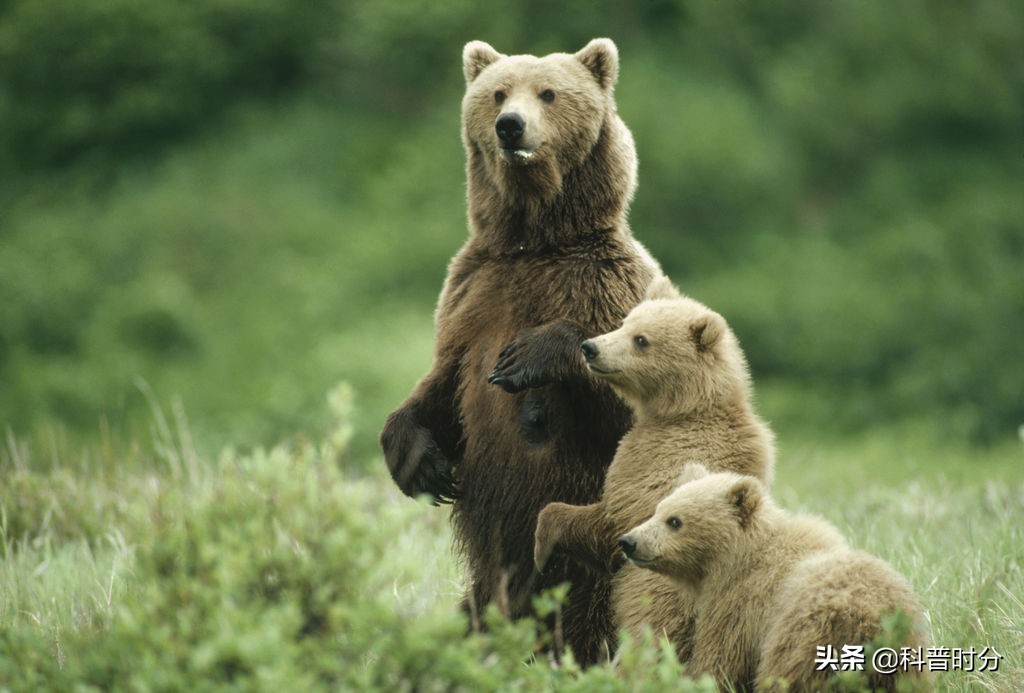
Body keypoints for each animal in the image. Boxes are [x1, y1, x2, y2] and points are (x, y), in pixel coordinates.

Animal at [380, 39, 659, 663]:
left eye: (549, 93)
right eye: (498, 93)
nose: (510, 126)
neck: (535, 242)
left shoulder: (608, 286)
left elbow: (633, 405)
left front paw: (529, 356)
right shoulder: (470, 295)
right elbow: (440, 387)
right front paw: (420, 463)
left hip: (592, 562)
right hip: (490, 585)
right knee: (474, 614)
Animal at [532, 276, 770, 659]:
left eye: (641, 339)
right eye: (625, 322)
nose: (590, 347)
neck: (681, 410)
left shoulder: (653, 461)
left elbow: (609, 523)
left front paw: (542, 549)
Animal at [618, 464, 933, 691]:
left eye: (675, 521)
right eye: (657, 510)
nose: (629, 541)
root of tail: (876, 620)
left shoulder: (741, 607)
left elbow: (720, 660)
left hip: (805, 635)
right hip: (907, 657)